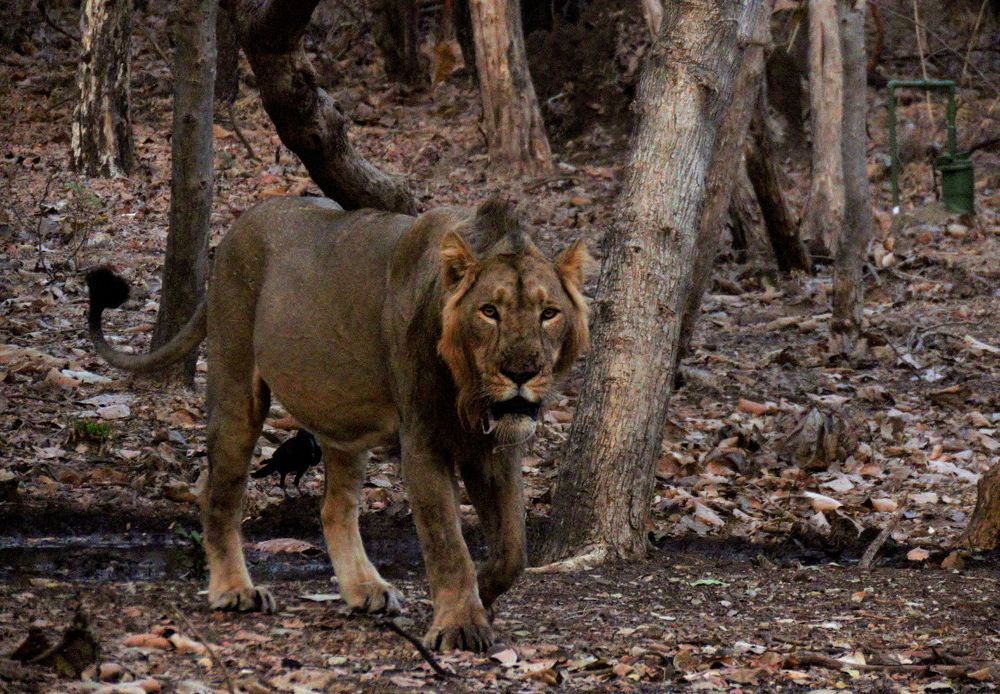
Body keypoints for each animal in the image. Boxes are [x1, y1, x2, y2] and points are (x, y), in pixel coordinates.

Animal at [86, 196, 591, 652]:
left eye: (549, 313)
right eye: (489, 311)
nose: (522, 373)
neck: (471, 394)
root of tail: (236, 228)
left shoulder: (496, 450)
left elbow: (512, 550)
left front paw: (482, 594)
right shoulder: (422, 441)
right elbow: (447, 542)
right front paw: (461, 625)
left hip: (342, 422)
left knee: (334, 507)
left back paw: (365, 590)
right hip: (236, 387)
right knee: (219, 491)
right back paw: (235, 591)